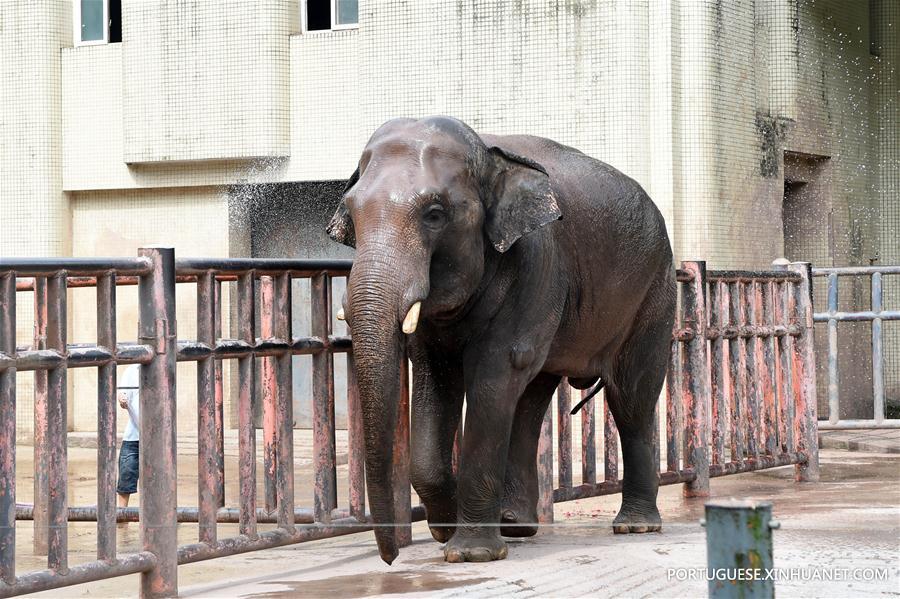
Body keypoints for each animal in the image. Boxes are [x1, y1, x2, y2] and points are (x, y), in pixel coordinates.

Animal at [326, 117, 672, 568]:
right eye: (351, 213)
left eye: (434, 214)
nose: (389, 560)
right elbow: (437, 377)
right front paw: (444, 530)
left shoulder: (536, 262)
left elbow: (494, 375)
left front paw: (470, 553)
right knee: (531, 398)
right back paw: (515, 524)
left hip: (654, 293)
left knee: (630, 399)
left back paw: (635, 526)